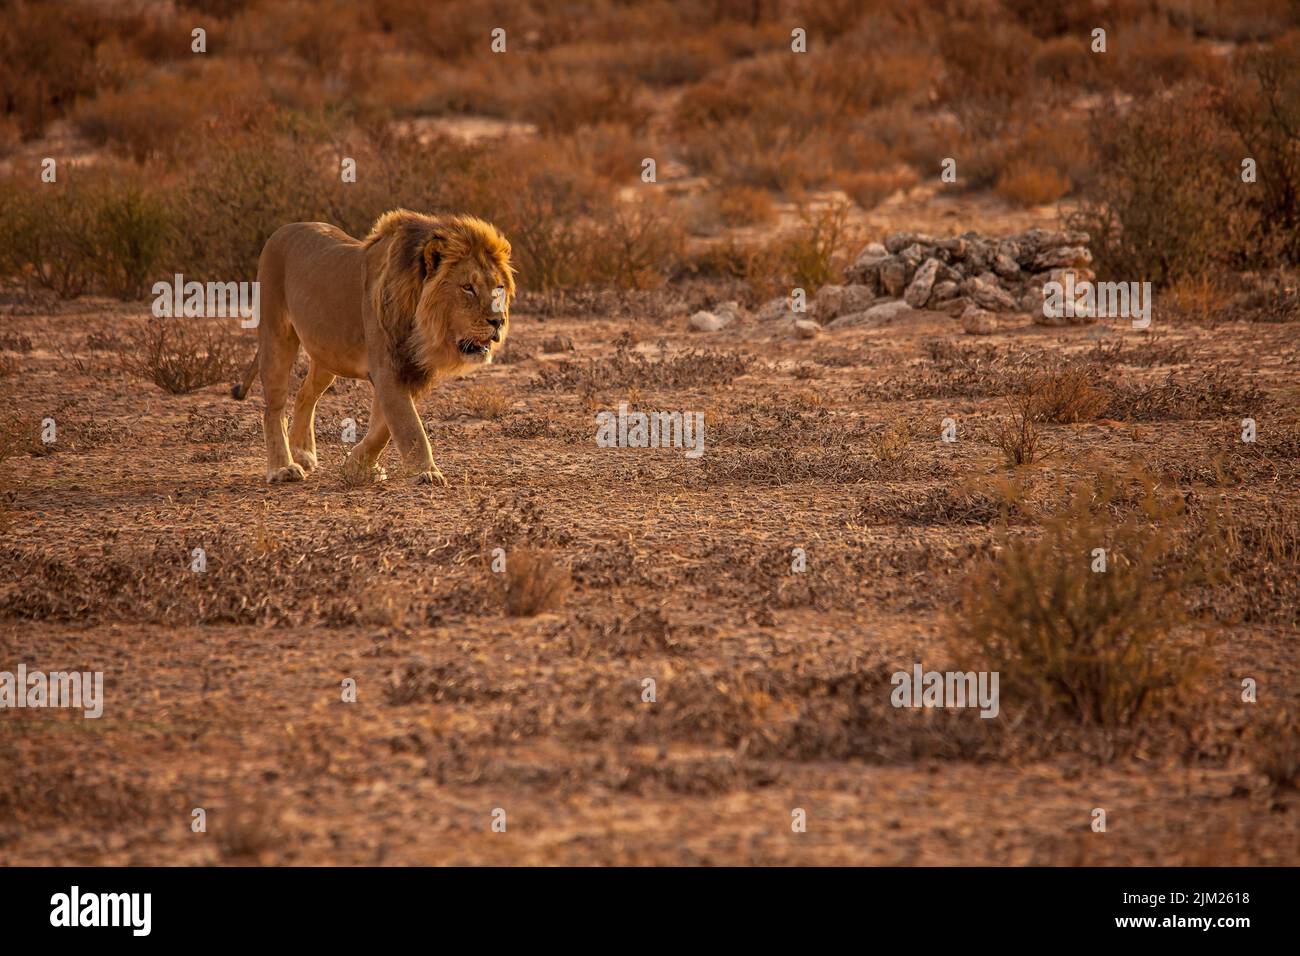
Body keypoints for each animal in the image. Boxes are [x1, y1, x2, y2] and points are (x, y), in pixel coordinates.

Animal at [231, 210, 515, 485]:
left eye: (499, 287)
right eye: (467, 287)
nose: (499, 321)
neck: (423, 332)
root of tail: (282, 230)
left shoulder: (407, 370)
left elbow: (383, 427)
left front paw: (357, 466)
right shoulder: (388, 369)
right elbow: (409, 426)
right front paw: (426, 472)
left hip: (328, 355)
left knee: (305, 394)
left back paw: (302, 453)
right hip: (276, 336)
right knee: (274, 408)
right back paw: (283, 467)